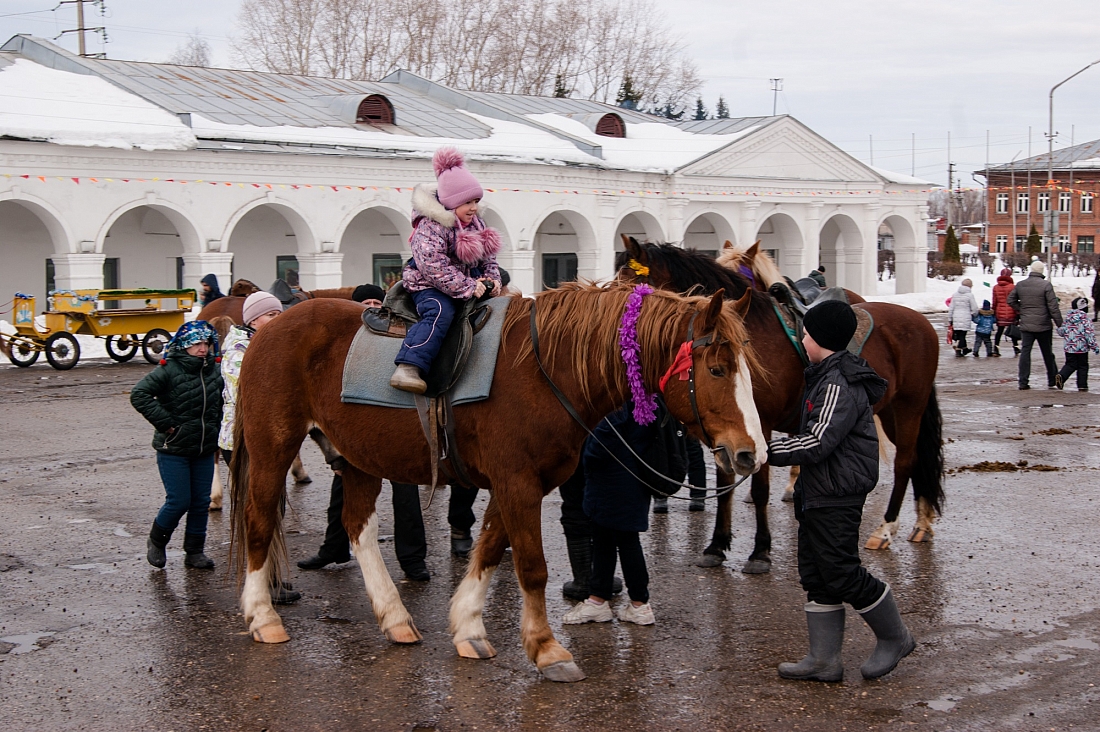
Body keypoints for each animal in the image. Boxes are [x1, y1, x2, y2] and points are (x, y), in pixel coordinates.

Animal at [228, 280, 770, 678]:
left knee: (358, 527)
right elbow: (531, 566)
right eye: (717, 369)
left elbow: (490, 549)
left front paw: (469, 626)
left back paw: (396, 618)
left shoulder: (516, 484)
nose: (752, 453)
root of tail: (266, 330)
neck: (544, 371)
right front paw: (547, 648)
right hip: (274, 447)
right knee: (259, 520)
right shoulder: (517, 482)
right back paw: (263, 615)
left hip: (358, 458)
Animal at [620, 238, 946, 572]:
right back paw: (922, 522)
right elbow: (725, 486)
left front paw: (761, 550)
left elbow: (760, 489)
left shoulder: (758, 425)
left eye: (630, 288)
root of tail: (920, 321)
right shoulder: (727, 430)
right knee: (918, 459)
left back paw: (885, 528)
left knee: (905, 461)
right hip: (890, 410)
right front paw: (717, 545)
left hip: (909, 406)